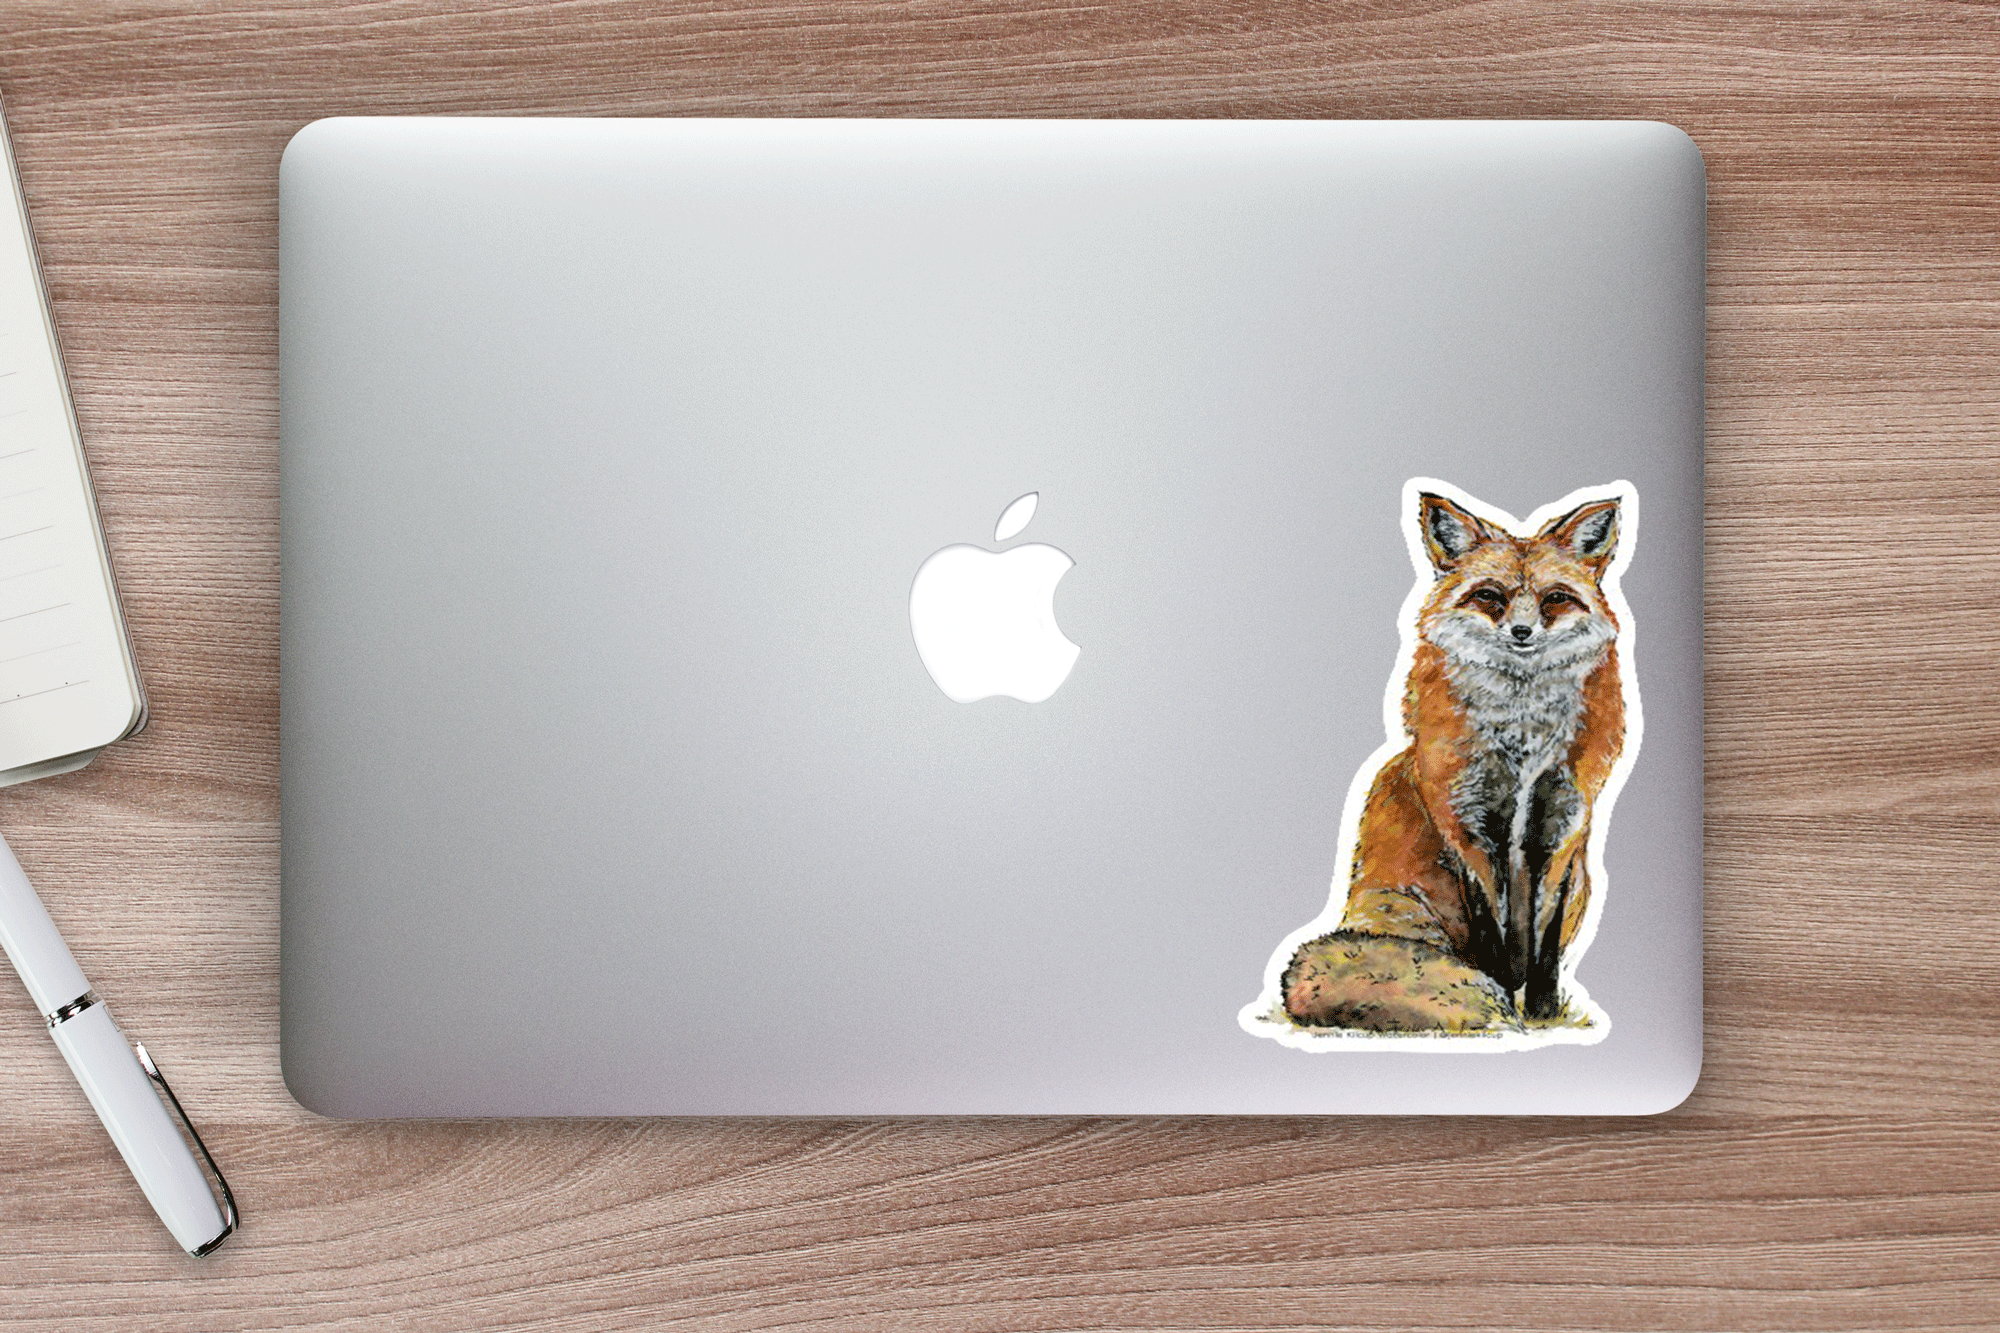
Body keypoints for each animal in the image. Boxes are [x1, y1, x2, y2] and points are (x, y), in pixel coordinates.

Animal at [1276, 484, 1631, 1035]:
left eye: (1554, 598)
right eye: (1490, 596)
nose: (1522, 632)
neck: (1522, 746)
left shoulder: (1563, 828)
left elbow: (1544, 951)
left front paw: (1543, 1015)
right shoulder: (1465, 824)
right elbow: (1491, 943)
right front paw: (1508, 1010)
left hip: (1582, 887)